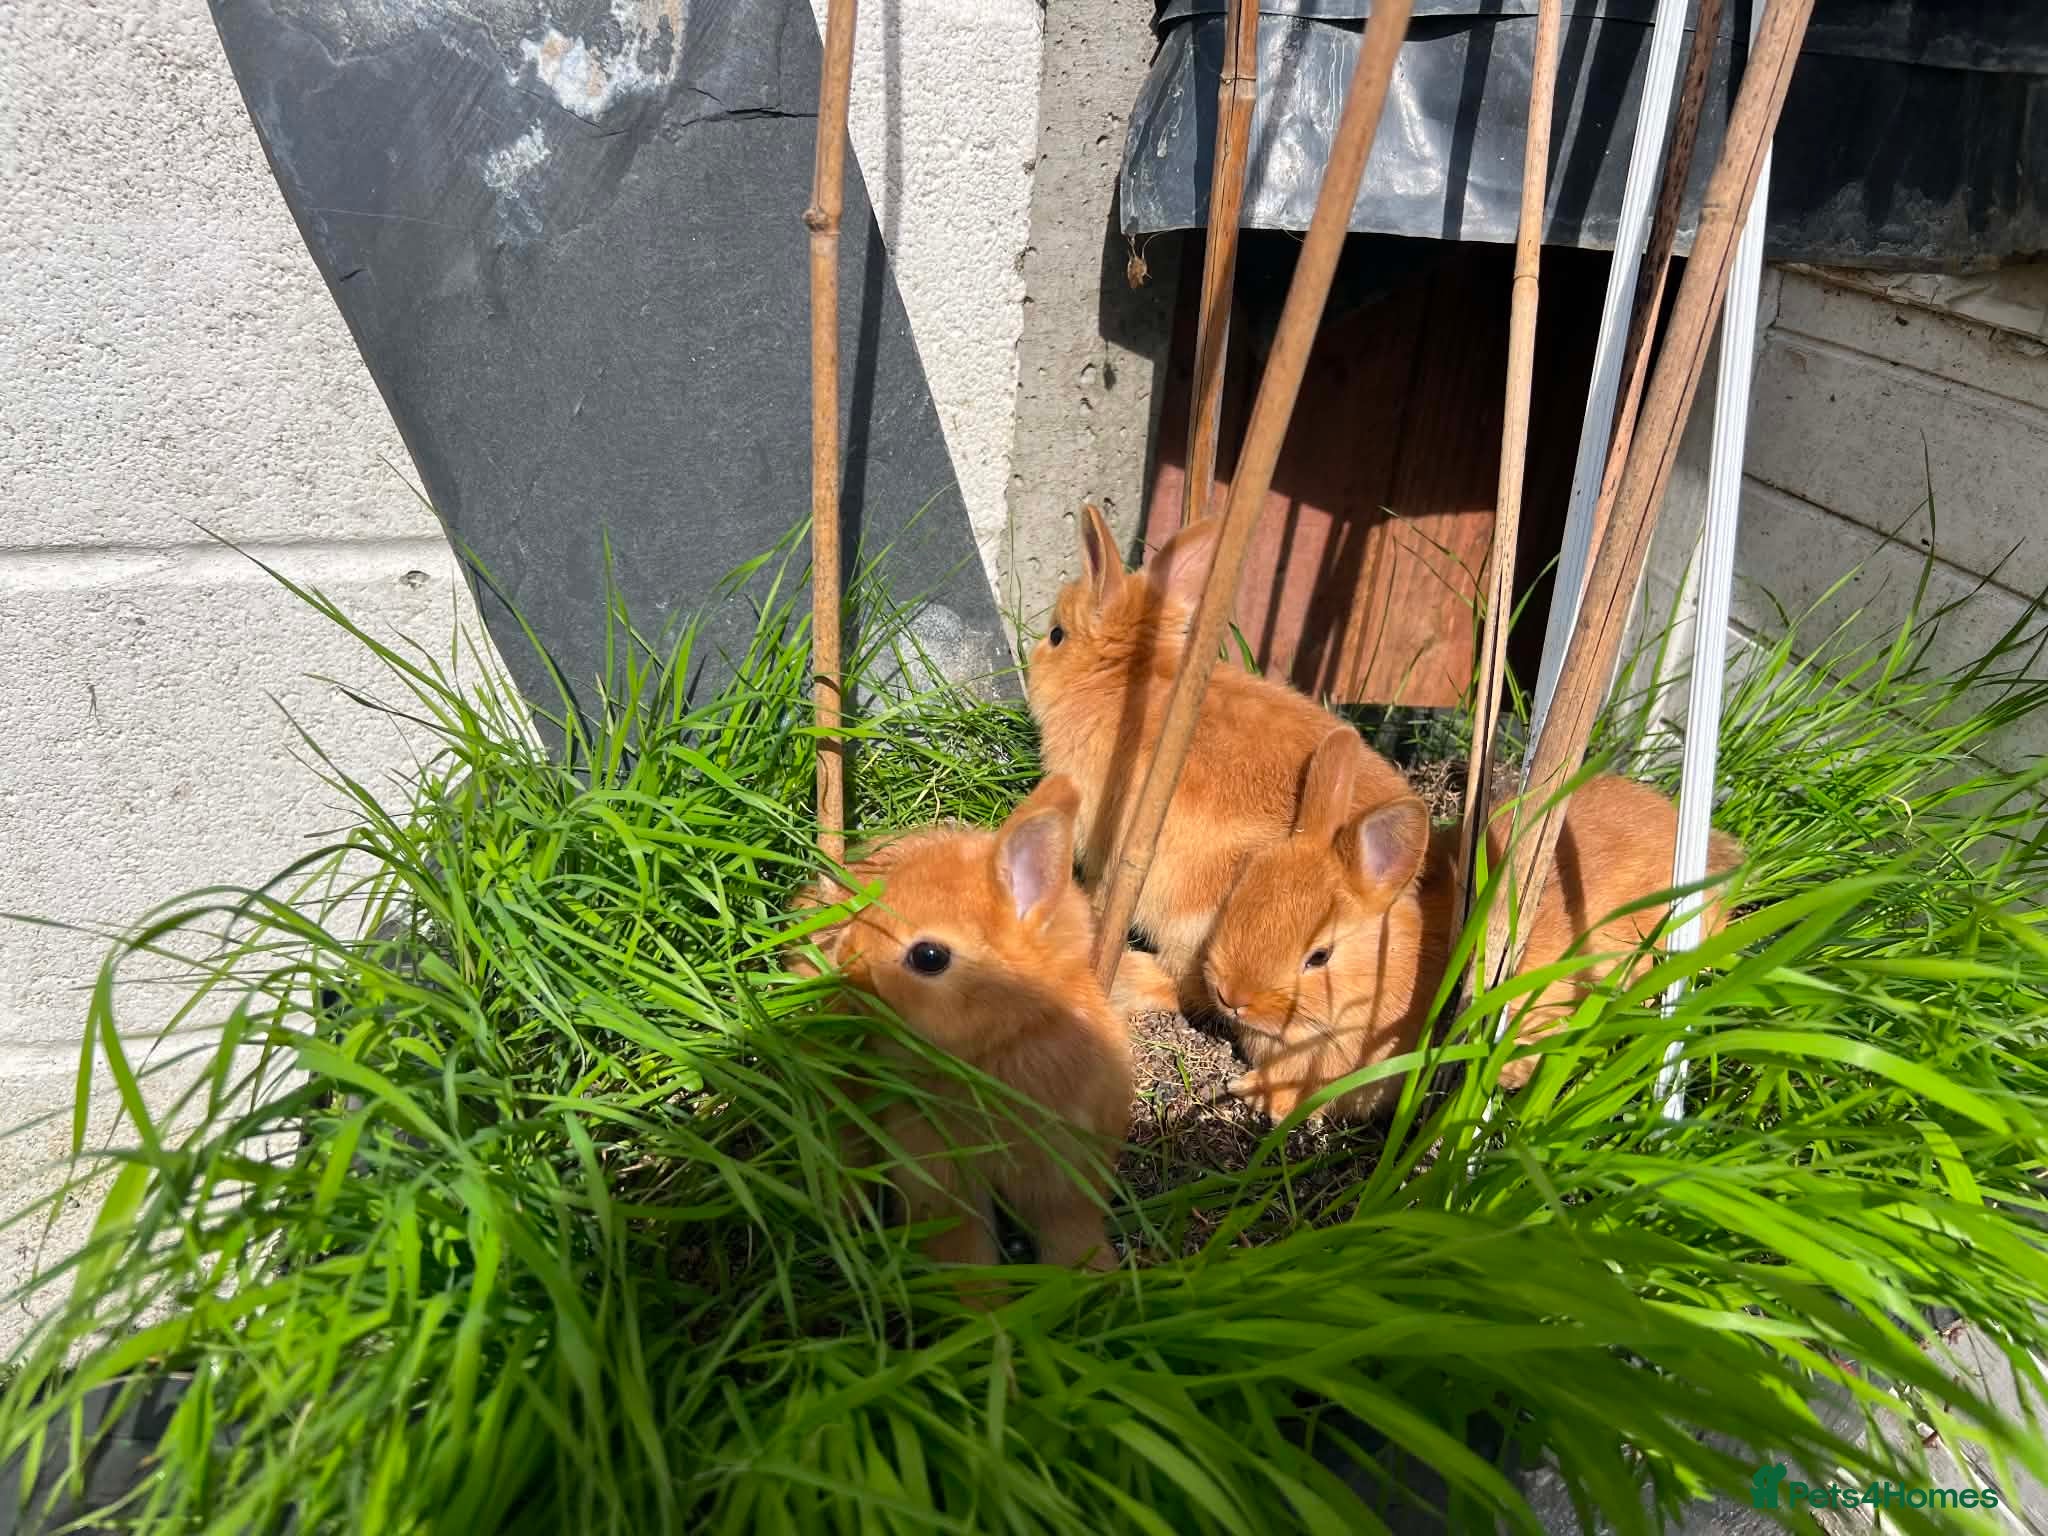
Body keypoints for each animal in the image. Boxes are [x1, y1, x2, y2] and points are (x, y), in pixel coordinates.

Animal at [790, 774, 1132, 1278]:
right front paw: (985, 1301)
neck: (1005, 1042)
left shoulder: (1065, 1168)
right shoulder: (940, 1178)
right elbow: (964, 1249)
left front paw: (1091, 1278)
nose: (847, 957)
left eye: (929, 957)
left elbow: (1070, 1228)